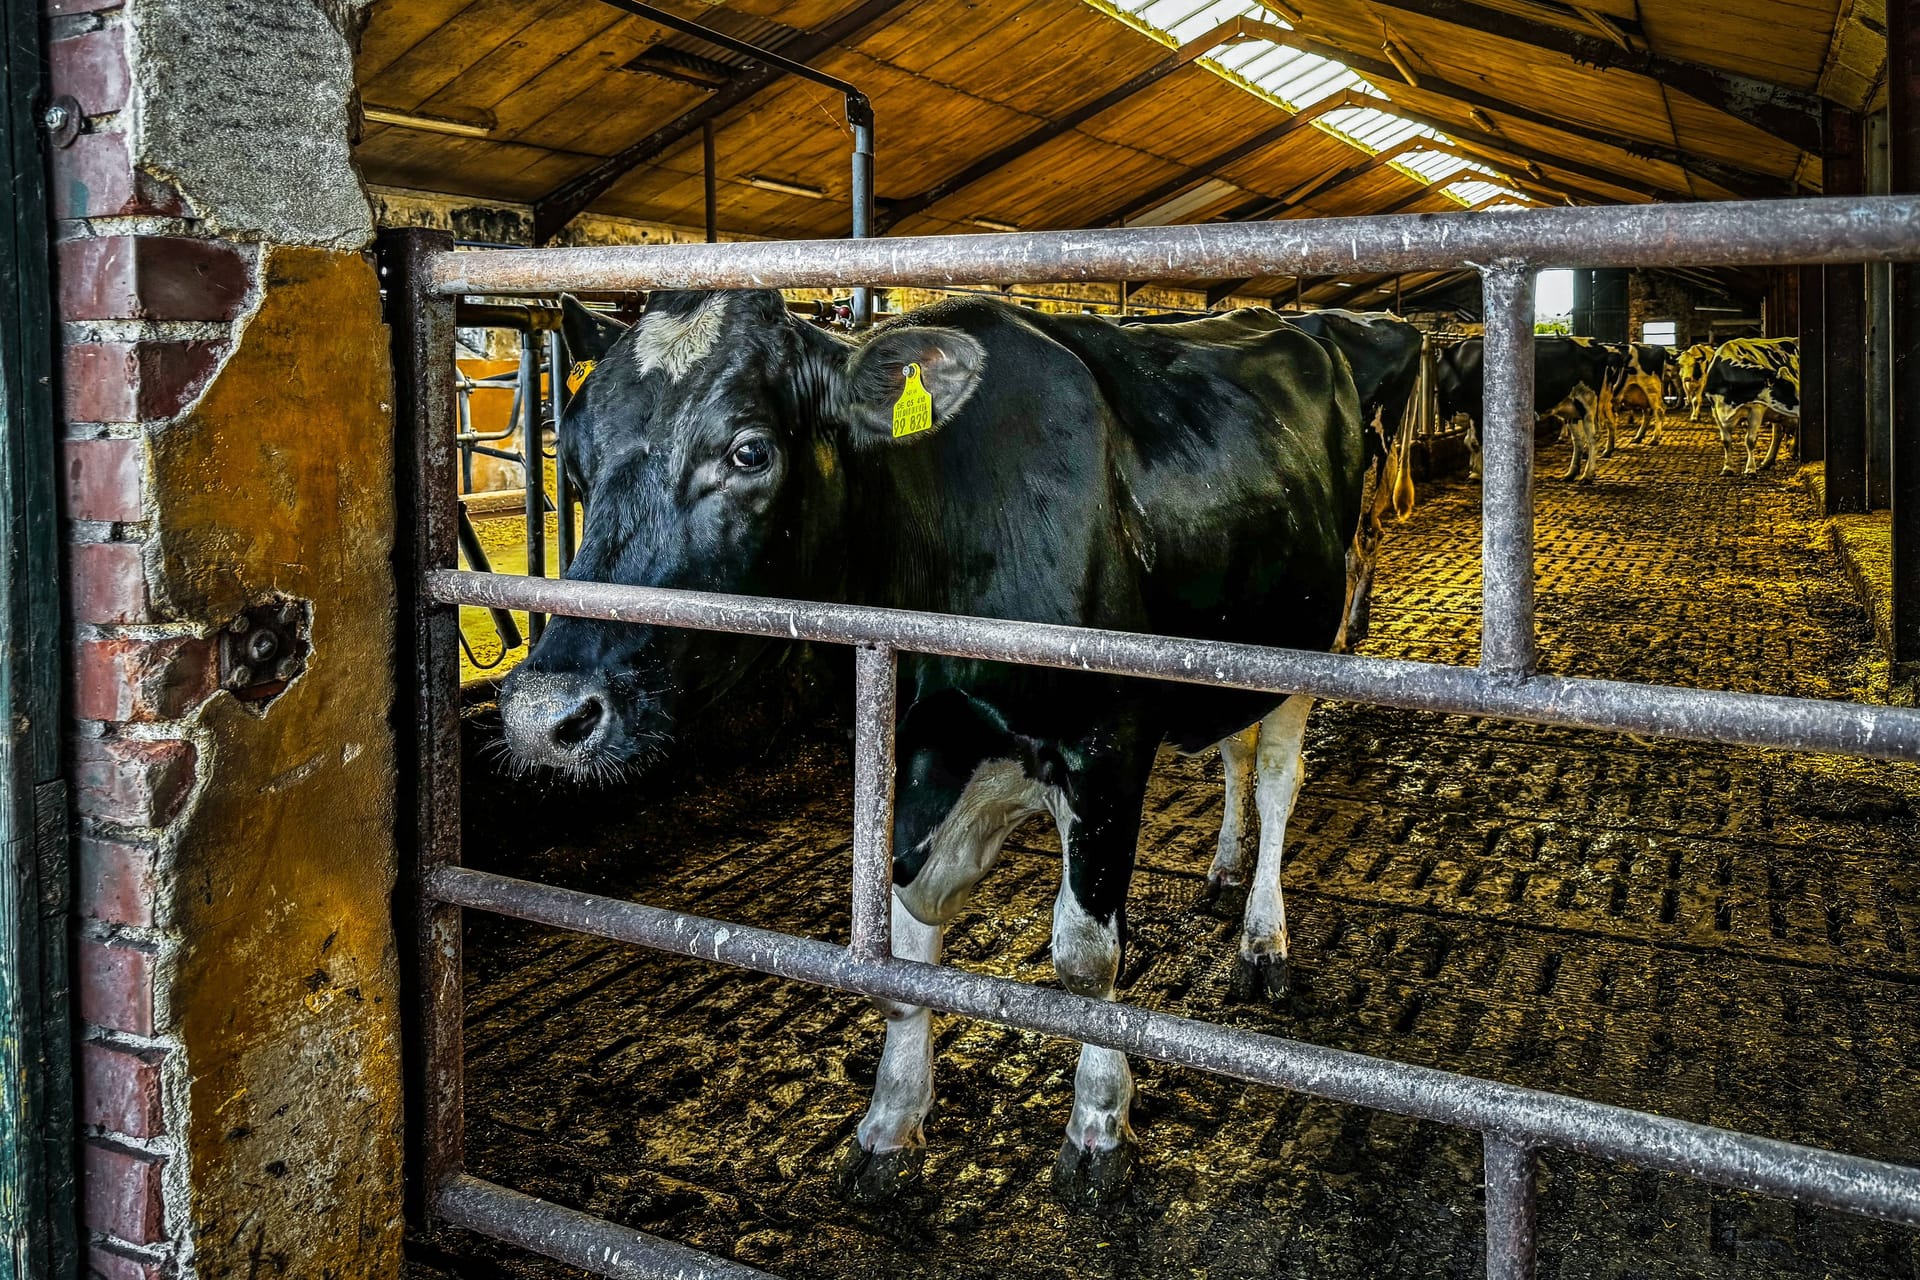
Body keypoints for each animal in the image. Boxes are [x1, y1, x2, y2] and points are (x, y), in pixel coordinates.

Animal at [503, 289, 1374, 1212]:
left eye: (748, 451)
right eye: (574, 459)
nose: (542, 712)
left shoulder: (1109, 744)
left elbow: (1085, 960)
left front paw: (1099, 1129)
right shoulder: (912, 746)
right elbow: (905, 944)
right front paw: (890, 1121)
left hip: (1313, 639)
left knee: (1276, 777)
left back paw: (1262, 939)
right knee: (1234, 754)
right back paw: (1222, 868)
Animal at [1436, 335, 1612, 479]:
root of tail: (1596, 345)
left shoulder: (1478, 412)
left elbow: (1475, 442)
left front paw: (1479, 472)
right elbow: (1468, 442)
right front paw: (1474, 470)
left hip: (1587, 401)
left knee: (1593, 437)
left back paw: (1588, 474)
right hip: (1571, 408)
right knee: (1578, 440)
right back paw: (1571, 473)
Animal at [1704, 337, 1789, 477]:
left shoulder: (1756, 409)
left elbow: (1750, 440)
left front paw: (1750, 469)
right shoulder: (1715, 410)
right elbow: (1725, 440)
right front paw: (1727, 468)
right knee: (1778, 433)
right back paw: (1767, 462)